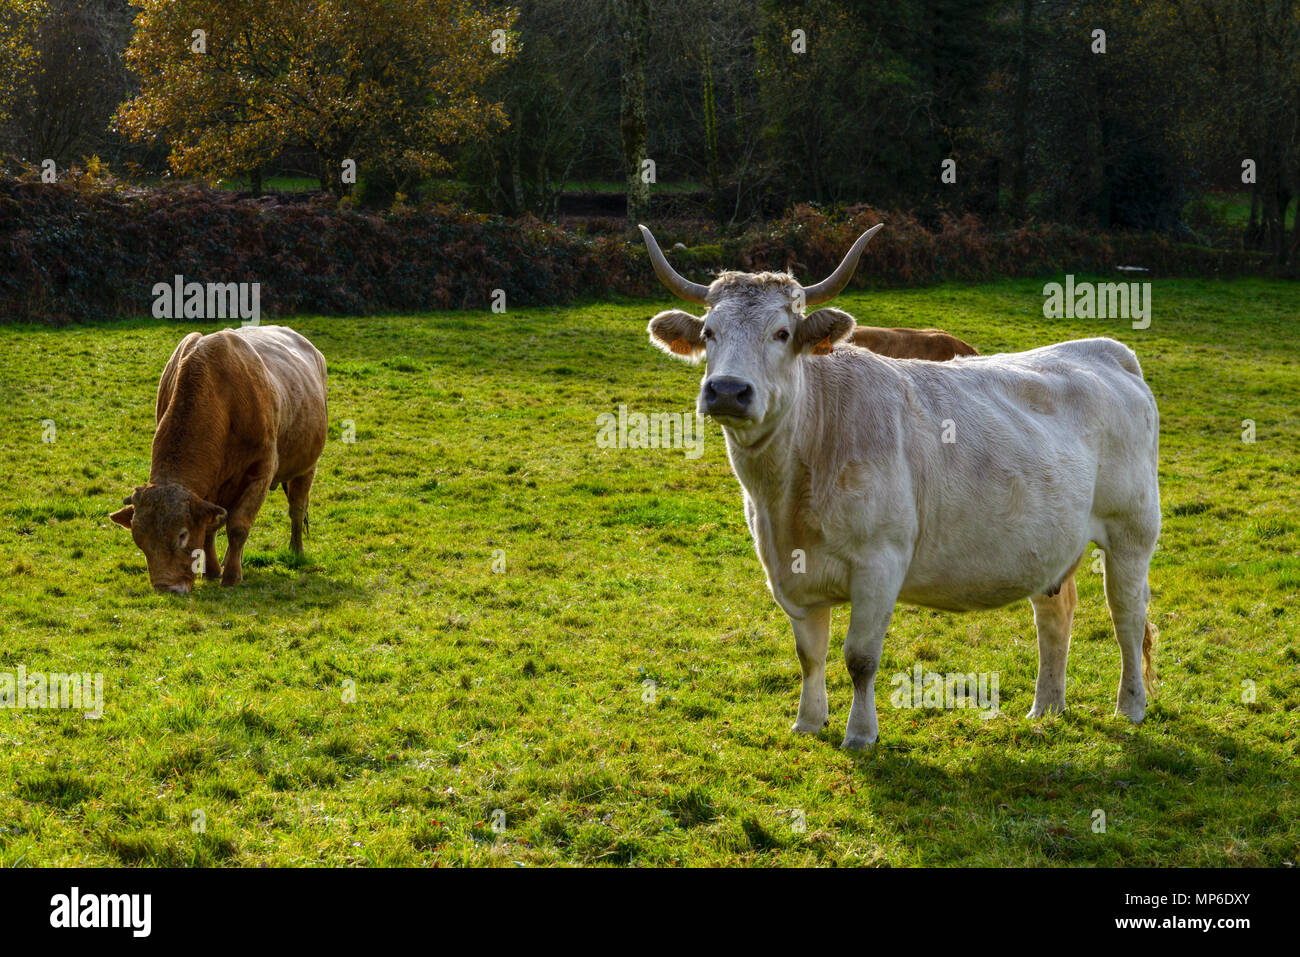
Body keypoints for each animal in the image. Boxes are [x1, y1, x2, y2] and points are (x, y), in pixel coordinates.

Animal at [109, 325, 327, 590]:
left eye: (182, 535)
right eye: (139, 541)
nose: (165, 586)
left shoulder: (261, 473)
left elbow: (238, 527)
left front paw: (232, 575)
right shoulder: (211, 488)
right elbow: (210, 527)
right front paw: (212, 570)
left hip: (306, 467)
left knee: (297, 508)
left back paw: (296, 552)